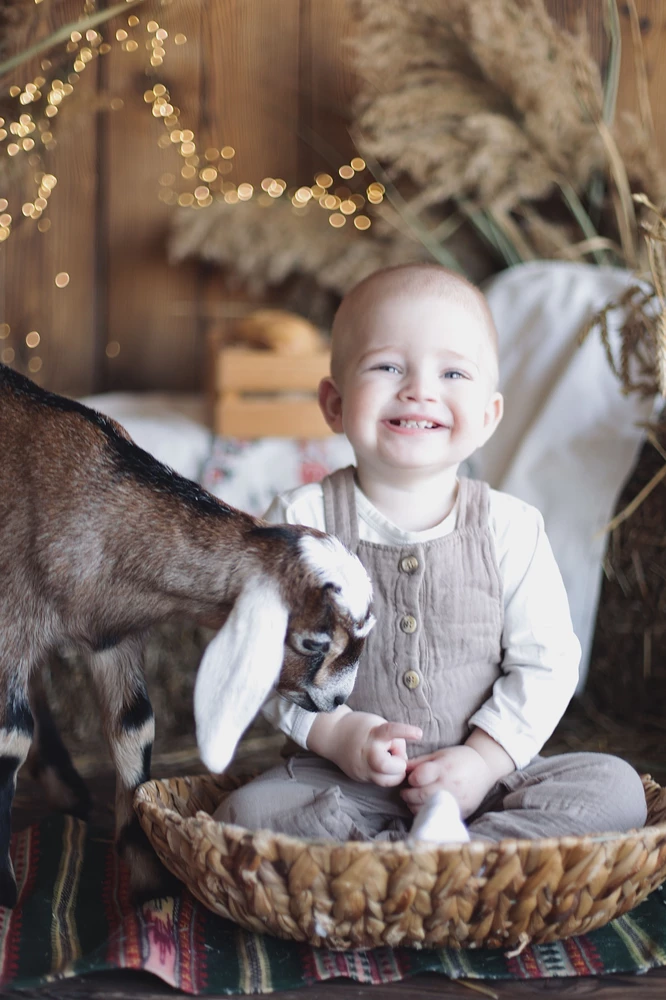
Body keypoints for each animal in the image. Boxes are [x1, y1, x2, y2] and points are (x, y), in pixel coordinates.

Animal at [0, 366, 374, 908]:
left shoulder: (112, 635)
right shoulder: (12, 623)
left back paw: (66, 786)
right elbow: (11, 737)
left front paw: (149, 882)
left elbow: (134, 728)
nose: (339, 700)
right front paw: (6, 893)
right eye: (312, 643)